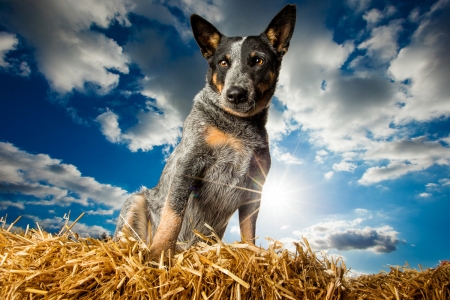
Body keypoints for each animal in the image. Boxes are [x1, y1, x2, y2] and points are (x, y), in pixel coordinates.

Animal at [114, 3, 298, 258]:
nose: (235, 94)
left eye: (258, 61)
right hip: (135, 201)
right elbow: (173, 215)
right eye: (223, 63)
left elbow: (249, 229)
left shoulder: (255, 185)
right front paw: (159, 254)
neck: (238, 127)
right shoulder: (188, 164)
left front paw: (252, 255)